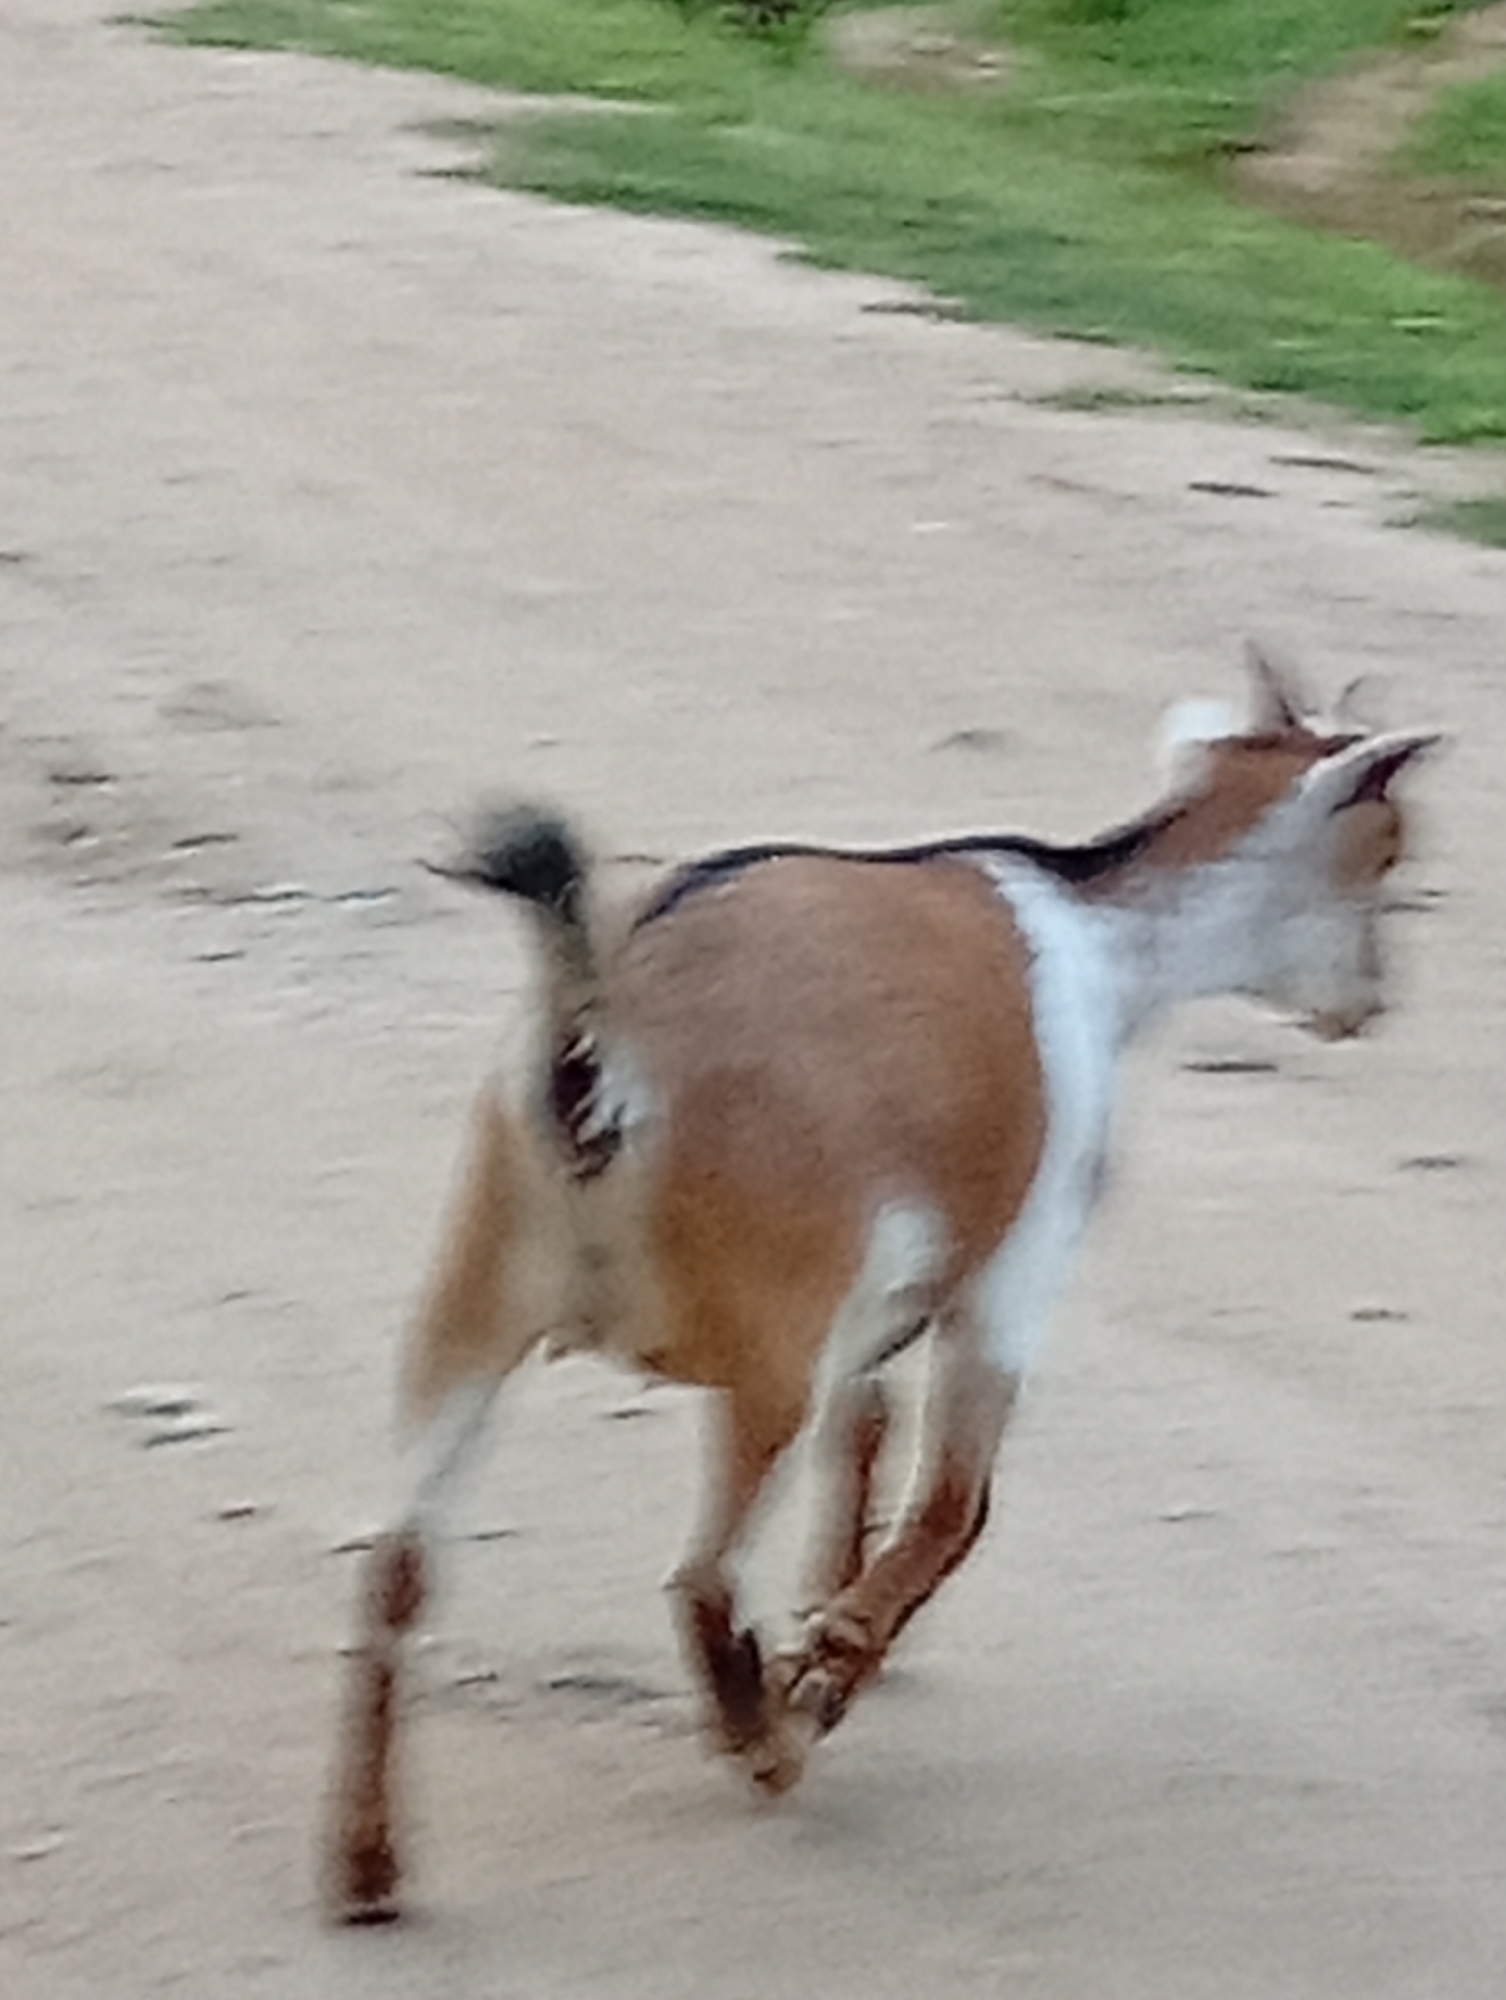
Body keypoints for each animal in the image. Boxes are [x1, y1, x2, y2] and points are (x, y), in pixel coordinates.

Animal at [324, 647, 1437, 1922]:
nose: (1368, 1002)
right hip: (764, 1345)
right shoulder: (1012, 1269)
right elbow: (956, 1501)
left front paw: (832, 1620)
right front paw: (830, 1658)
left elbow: (865, 1426)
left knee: (397, 1563)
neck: (1102, 934)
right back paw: (767, 1740)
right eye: (1387, 853)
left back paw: (368, 1868)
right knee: (700, 1573)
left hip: (477, 1298)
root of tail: (594, 1062)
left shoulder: (870, 1303)